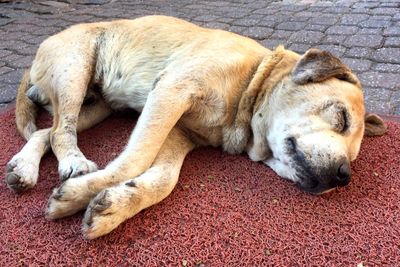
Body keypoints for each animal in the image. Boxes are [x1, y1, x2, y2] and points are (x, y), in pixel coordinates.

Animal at [4, 15, 388, 240]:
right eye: (341, 117)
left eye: (354, 156)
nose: (343, 176)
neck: (248, 88)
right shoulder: (172, 91)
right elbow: (135, 159)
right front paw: (76, 194)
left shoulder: (179, 133)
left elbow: (163, 180)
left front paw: (116, 204)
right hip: (75, 68)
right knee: (59, 130)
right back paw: (72, 161)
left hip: (97, 106)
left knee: (44, 131)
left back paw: (24, 167)